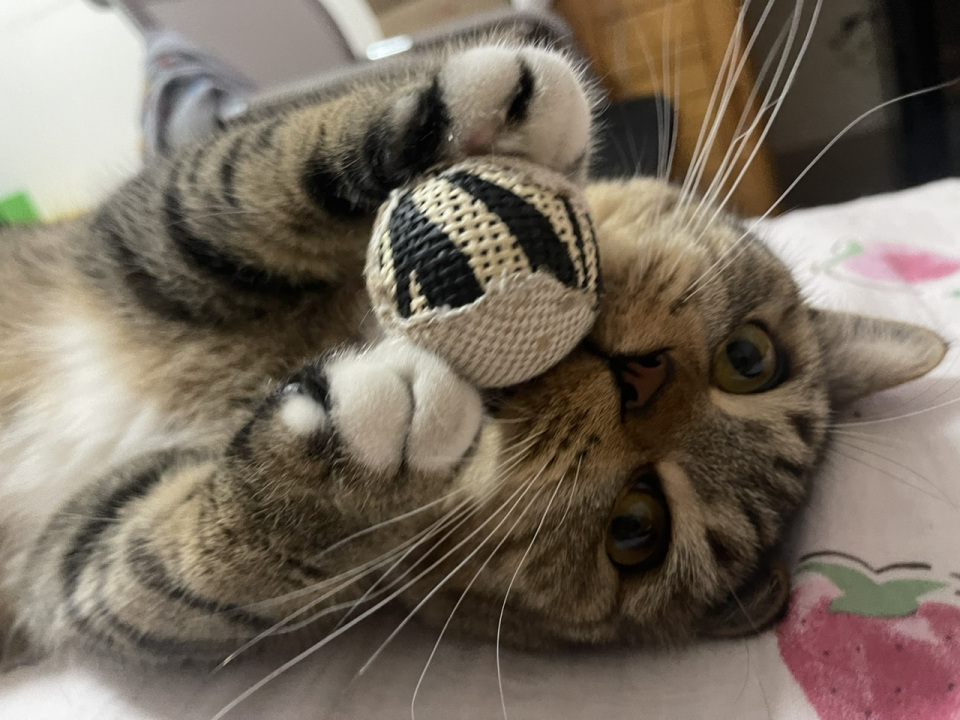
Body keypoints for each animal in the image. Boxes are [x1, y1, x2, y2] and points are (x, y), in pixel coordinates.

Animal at [0, 36, 946, 671]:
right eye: (751, 360)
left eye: (636, 530)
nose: (638, 377)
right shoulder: (137, 241)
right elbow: (236, 183)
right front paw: (483, 115)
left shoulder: (72, 557)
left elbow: (170, 572)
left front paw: (358, 468)